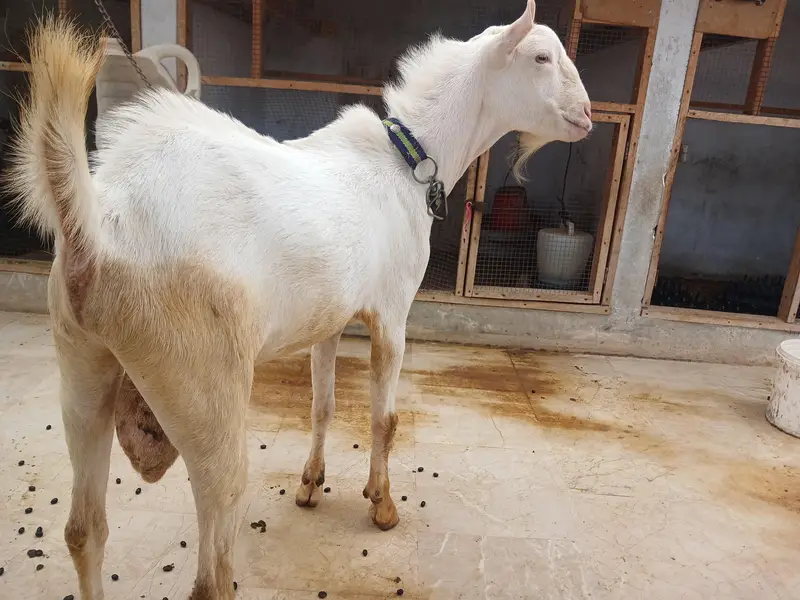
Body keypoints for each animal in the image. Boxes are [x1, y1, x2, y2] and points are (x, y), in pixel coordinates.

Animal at [8, 2, 590, 598]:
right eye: (541, 57)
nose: (587, 115)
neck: (407, 162)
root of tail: (98, 229)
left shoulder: (328, 321)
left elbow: (322, 405)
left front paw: (311, 485)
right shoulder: (393, 313)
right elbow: (385, 420)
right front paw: (382, 505)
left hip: (82, 368)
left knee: (85, 530)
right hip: (204, 384)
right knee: (212, 567)